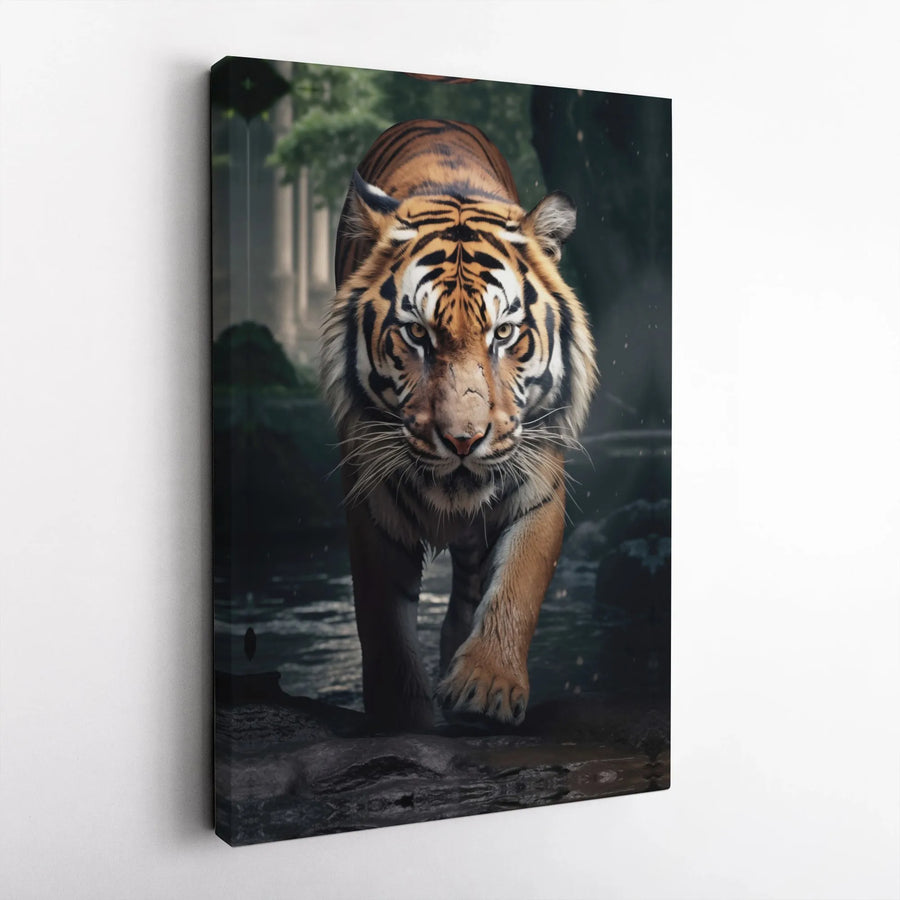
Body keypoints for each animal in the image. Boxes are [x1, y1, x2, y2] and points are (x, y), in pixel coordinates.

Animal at [321, 119, 598, 730]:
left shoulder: (539, 482)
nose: (463, 441)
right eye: (417, 334)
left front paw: (486, 687)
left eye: (504, 334)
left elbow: (517, 586)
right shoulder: (370, 500)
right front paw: (402, 715)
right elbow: (383, 623)